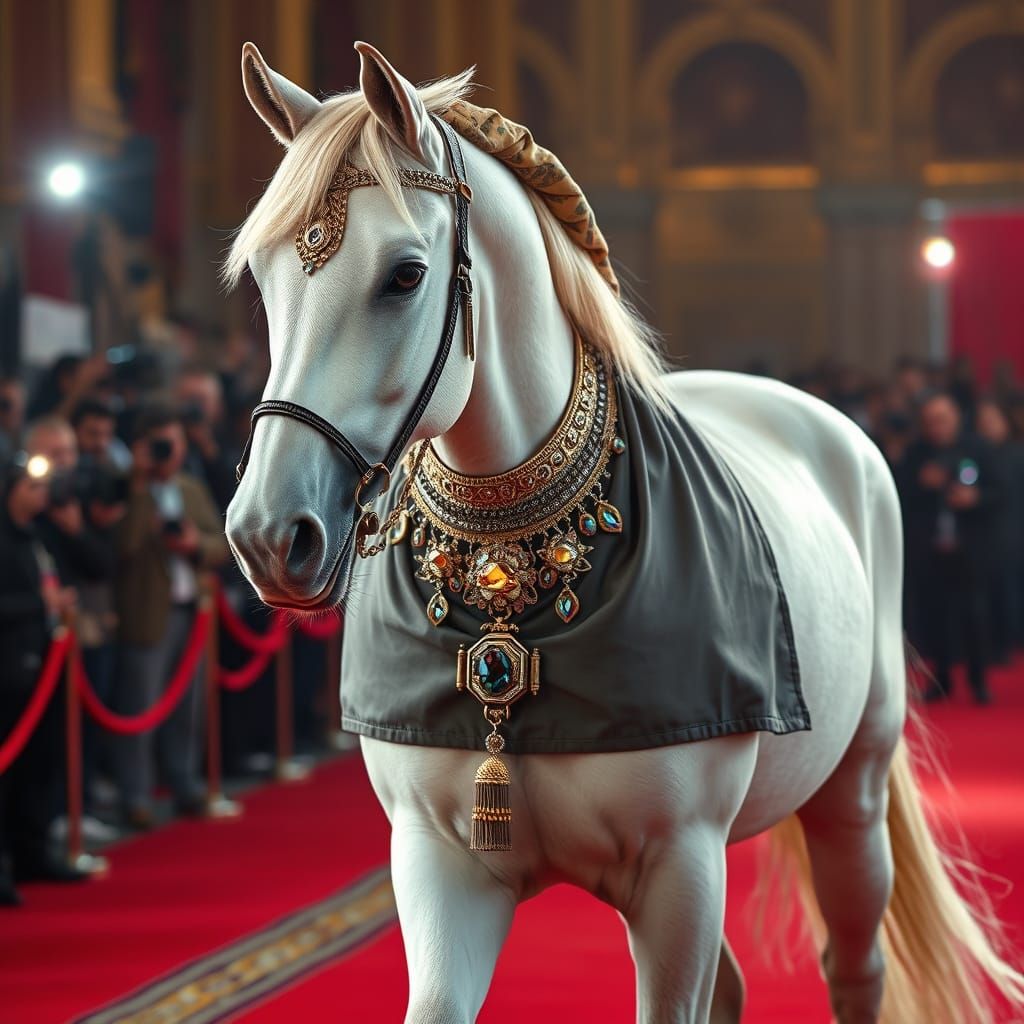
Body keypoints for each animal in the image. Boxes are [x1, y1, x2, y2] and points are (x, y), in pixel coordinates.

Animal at [222, 41, 1024, 1024]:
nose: (269, 535)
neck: (513, 585)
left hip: (854, 790)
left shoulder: (681, 868)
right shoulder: (439, 863)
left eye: (404, 275)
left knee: (855, 964)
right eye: (264, 283)